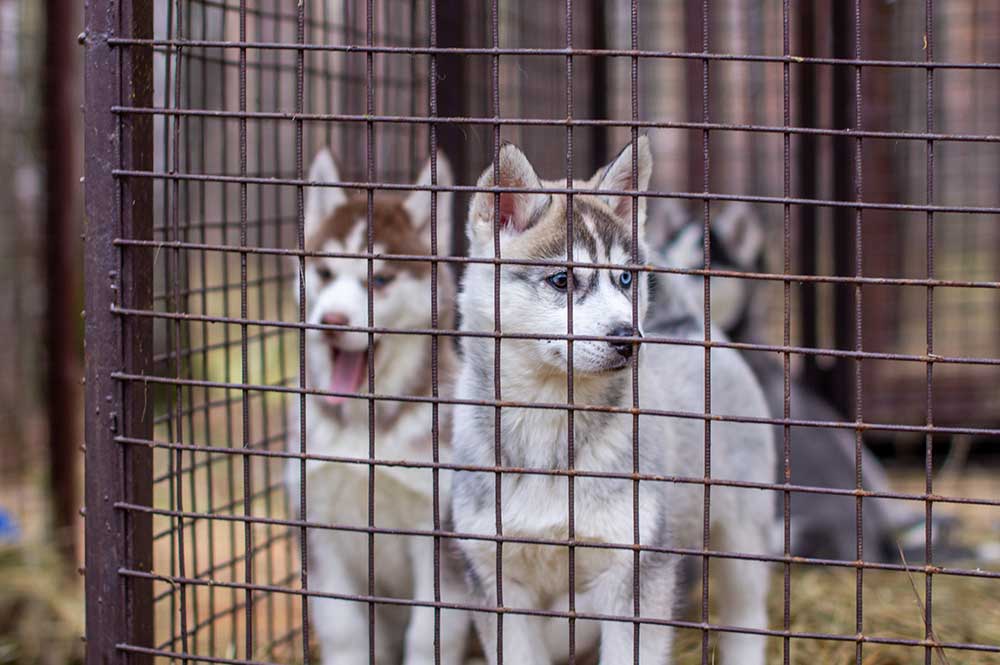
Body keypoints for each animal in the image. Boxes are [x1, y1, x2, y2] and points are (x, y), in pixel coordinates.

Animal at [284, 148, 466, 664]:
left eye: (380, 279)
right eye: (325, 274)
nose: (331, 321)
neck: (363, 426)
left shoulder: (438, 531)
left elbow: (428, 633)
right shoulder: (317, 525)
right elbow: (344, 629)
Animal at [452, 137, 772, 660]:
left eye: (624, 279)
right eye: (562, 280)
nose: (629, 338)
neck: (550, 426)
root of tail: (686, 325)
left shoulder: (636, 574)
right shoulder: (498, 583)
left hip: (742, 536)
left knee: (747, 618)